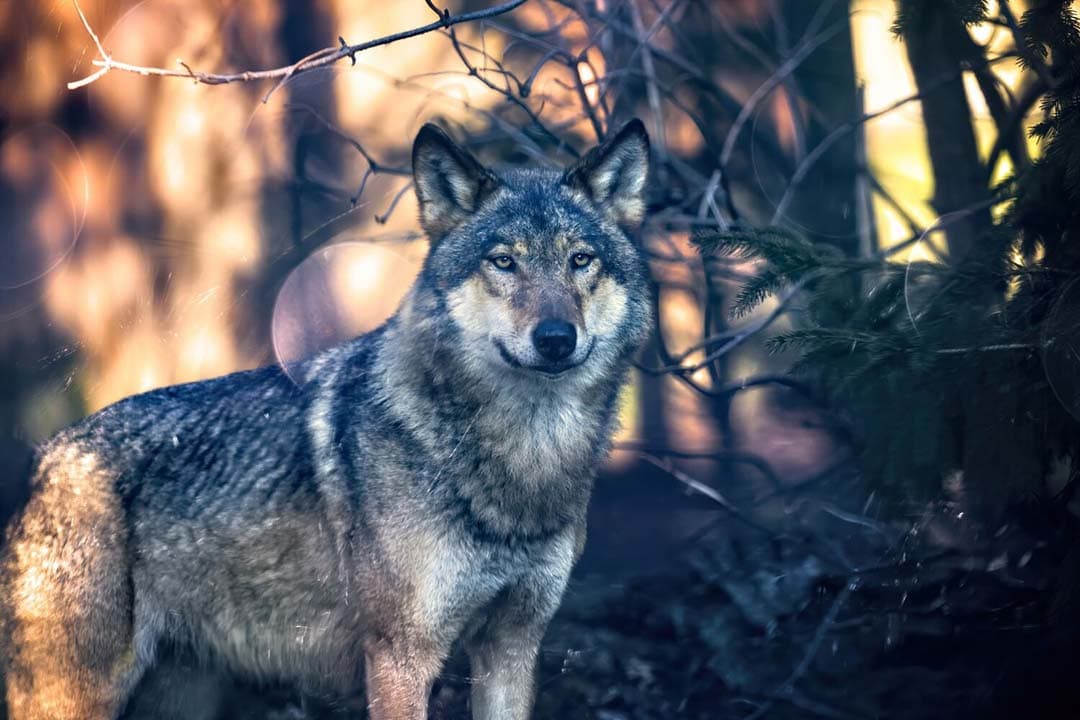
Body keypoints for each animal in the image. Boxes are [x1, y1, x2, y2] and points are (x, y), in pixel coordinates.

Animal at [0, 118, 653, 720]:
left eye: (581, 260)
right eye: (504, 262)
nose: (556, 338)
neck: (524, 460)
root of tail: (49, 456)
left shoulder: (512, 649)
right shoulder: (400, 657)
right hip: (77, 695)